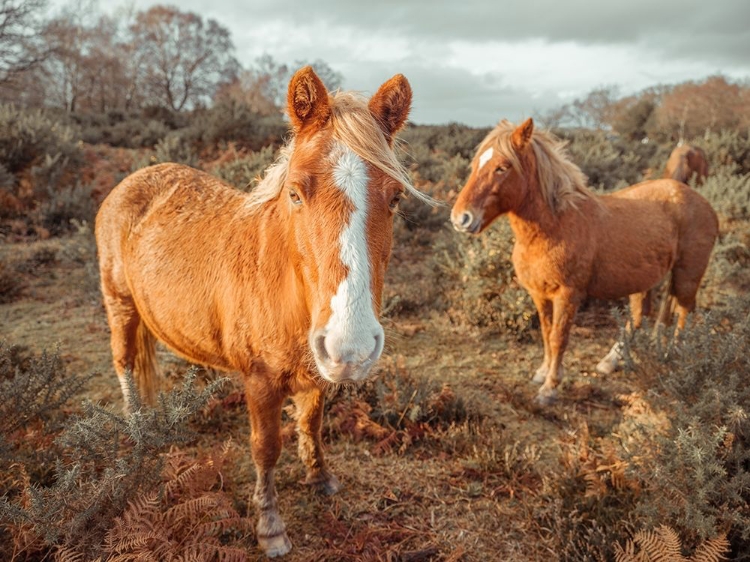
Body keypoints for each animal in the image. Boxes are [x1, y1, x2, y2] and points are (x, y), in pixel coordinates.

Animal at [95, 66, 424, 556]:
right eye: (295, 193)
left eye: (396, 197)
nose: (351, 347)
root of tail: (134, 179)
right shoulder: (260, 381)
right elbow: (266, 448)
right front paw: (270, 526)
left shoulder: (315, 372)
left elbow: (311, 423)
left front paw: (321, 478)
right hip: (119, 305)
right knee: (125, 364)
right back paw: (137, 428)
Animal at [450, 119, 720, 406]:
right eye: (475, 165)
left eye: (502, 167)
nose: (461, 218)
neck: (554, 227)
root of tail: (701, 201)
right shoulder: (539, 295)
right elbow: (546, 333)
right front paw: (542, 372)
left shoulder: (568, 296)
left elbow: (558, 338)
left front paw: (550, 388)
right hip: (645, 280)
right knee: (641, 315)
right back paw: (612, 360)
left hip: (687, 275)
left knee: (683, 312)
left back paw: (676, 356)